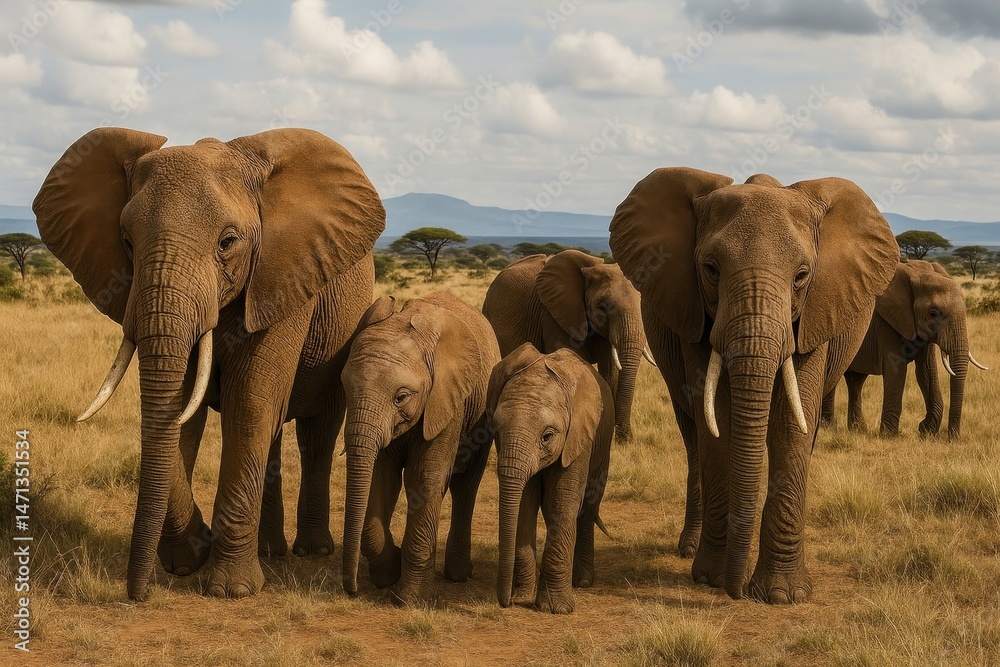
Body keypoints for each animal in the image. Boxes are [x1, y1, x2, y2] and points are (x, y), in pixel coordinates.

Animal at [33, 127, 385, 601]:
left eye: (227, 242)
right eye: (126, 241)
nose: (136, 594)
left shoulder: (283, 277)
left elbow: (249, 404)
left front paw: (230, 591)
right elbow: (182, 408)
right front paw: (186, 561)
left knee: (317, 431)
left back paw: (312, 552)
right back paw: (270, 552)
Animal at [340, 291, 500, 604]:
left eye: (401, 397)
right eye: (345, 388)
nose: (350, 591)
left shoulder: (447, 399)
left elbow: (425, 477)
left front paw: (410, 599)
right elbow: (381, 478)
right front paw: (388, 573)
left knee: (467, 485)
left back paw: (458, 575)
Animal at [487, 343, 613, 614]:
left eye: (547, 436)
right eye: (496, 432)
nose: (506, 602)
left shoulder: (578, 436)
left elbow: (561, 502)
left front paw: (557, 609)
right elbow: (524, 503)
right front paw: (524, 597)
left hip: (603, 444)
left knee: (587, 507)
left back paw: (582, 580)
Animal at [609, 168, 898, 603]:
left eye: (802, 276)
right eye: (711, 268)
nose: (736, 592)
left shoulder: (815, 315)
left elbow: (790, 428)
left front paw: (782, 595)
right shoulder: (695, 314)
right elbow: (717, 425)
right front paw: (712, 578)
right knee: (692, 436)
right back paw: (690, 550)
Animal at [821, 259, 988, 437]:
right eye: (933, 313)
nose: (952, 437)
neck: (917, 272)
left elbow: (926, 371)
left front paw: (926, 431)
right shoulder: (886, 322)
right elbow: (897, 370)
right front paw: (889, 435)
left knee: (856, 380)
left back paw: (858, 429)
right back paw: (827, 427)